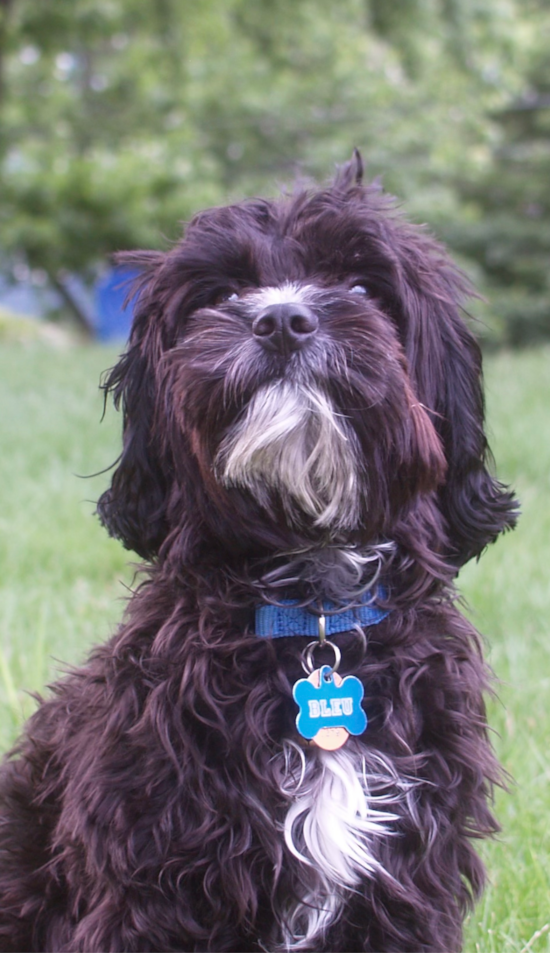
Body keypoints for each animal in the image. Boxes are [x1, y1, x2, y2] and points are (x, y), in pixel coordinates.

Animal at [0, 152, 516, 948]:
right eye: (223, 293)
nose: (279, 321)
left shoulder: (408, 884)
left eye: (362, 285)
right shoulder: (147, 877)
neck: (313, 606)